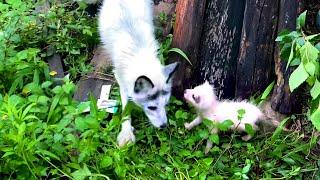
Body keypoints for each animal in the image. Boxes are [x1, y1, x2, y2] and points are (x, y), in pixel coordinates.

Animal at [98, 0, 178, 147]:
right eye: (152, 107)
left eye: (166, 104)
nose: (164, 126)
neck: (139, 55)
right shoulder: (122, 80)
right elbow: (125, 108)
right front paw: (126, 133)